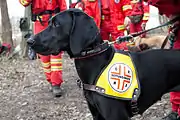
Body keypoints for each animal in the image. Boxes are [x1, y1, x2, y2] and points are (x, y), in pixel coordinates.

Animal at [27, 8, 180, 119]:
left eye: (56, 24)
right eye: (49, 23)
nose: (29, 41)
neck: (98, 63)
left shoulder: (115, 116)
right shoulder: (97, 114)